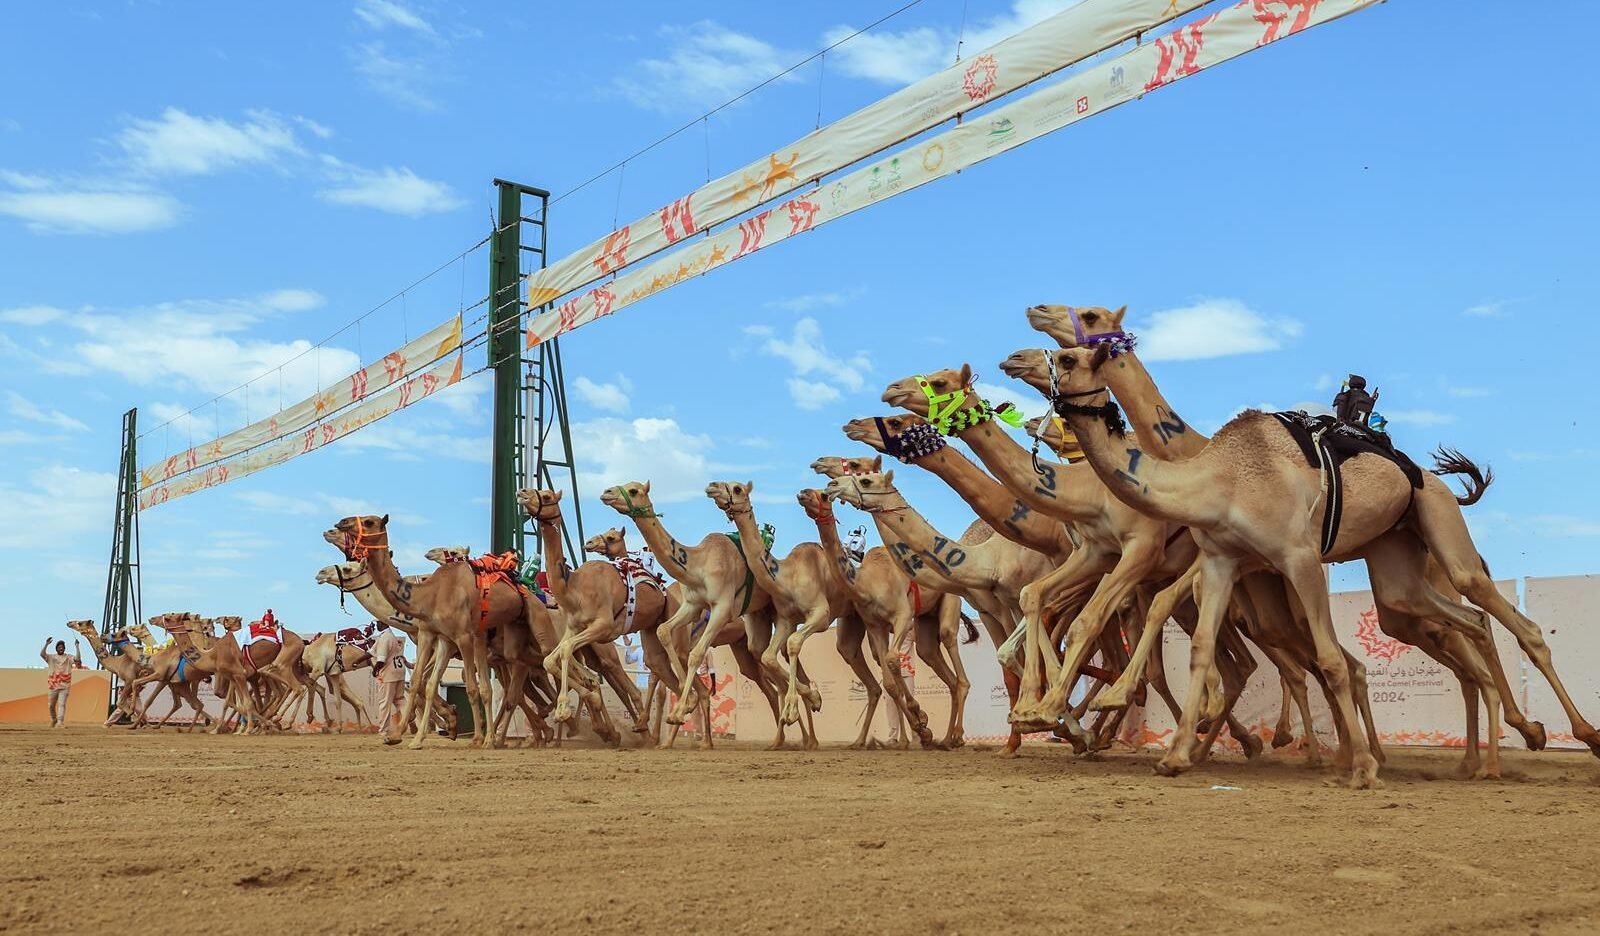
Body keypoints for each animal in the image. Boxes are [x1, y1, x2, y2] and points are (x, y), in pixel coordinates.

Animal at [1026, 304, 1559, 778]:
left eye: (1072, 354)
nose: (1018, 352)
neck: (1217, 478)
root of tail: (1434, 479)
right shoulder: (1222, 559)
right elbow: (1200, 645)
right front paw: (1174, 755)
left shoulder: (1297, 556)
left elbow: (1329, 659)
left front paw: (1362, 768)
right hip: (1397, 564)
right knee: (1459, 619)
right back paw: (1486, 757)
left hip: (1440, 521)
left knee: (1509, 620)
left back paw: (1540, 738)